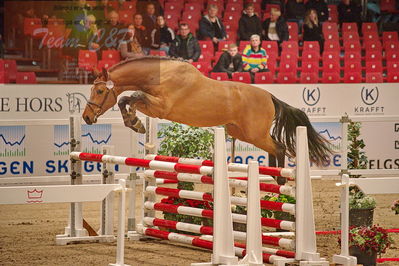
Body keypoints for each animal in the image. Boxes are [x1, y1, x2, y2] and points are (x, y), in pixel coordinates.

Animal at [83, 56, 332, 170]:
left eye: (100, 90)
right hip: (241, 132)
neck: (161, 75)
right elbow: (127, 99)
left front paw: (136, 122)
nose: (86, 117)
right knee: (275, 148)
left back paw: (278, 183)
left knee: (279, 148)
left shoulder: (160, 107)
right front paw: (135, 122)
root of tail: (269, 96)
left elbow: (130, 97)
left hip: (254, 134)